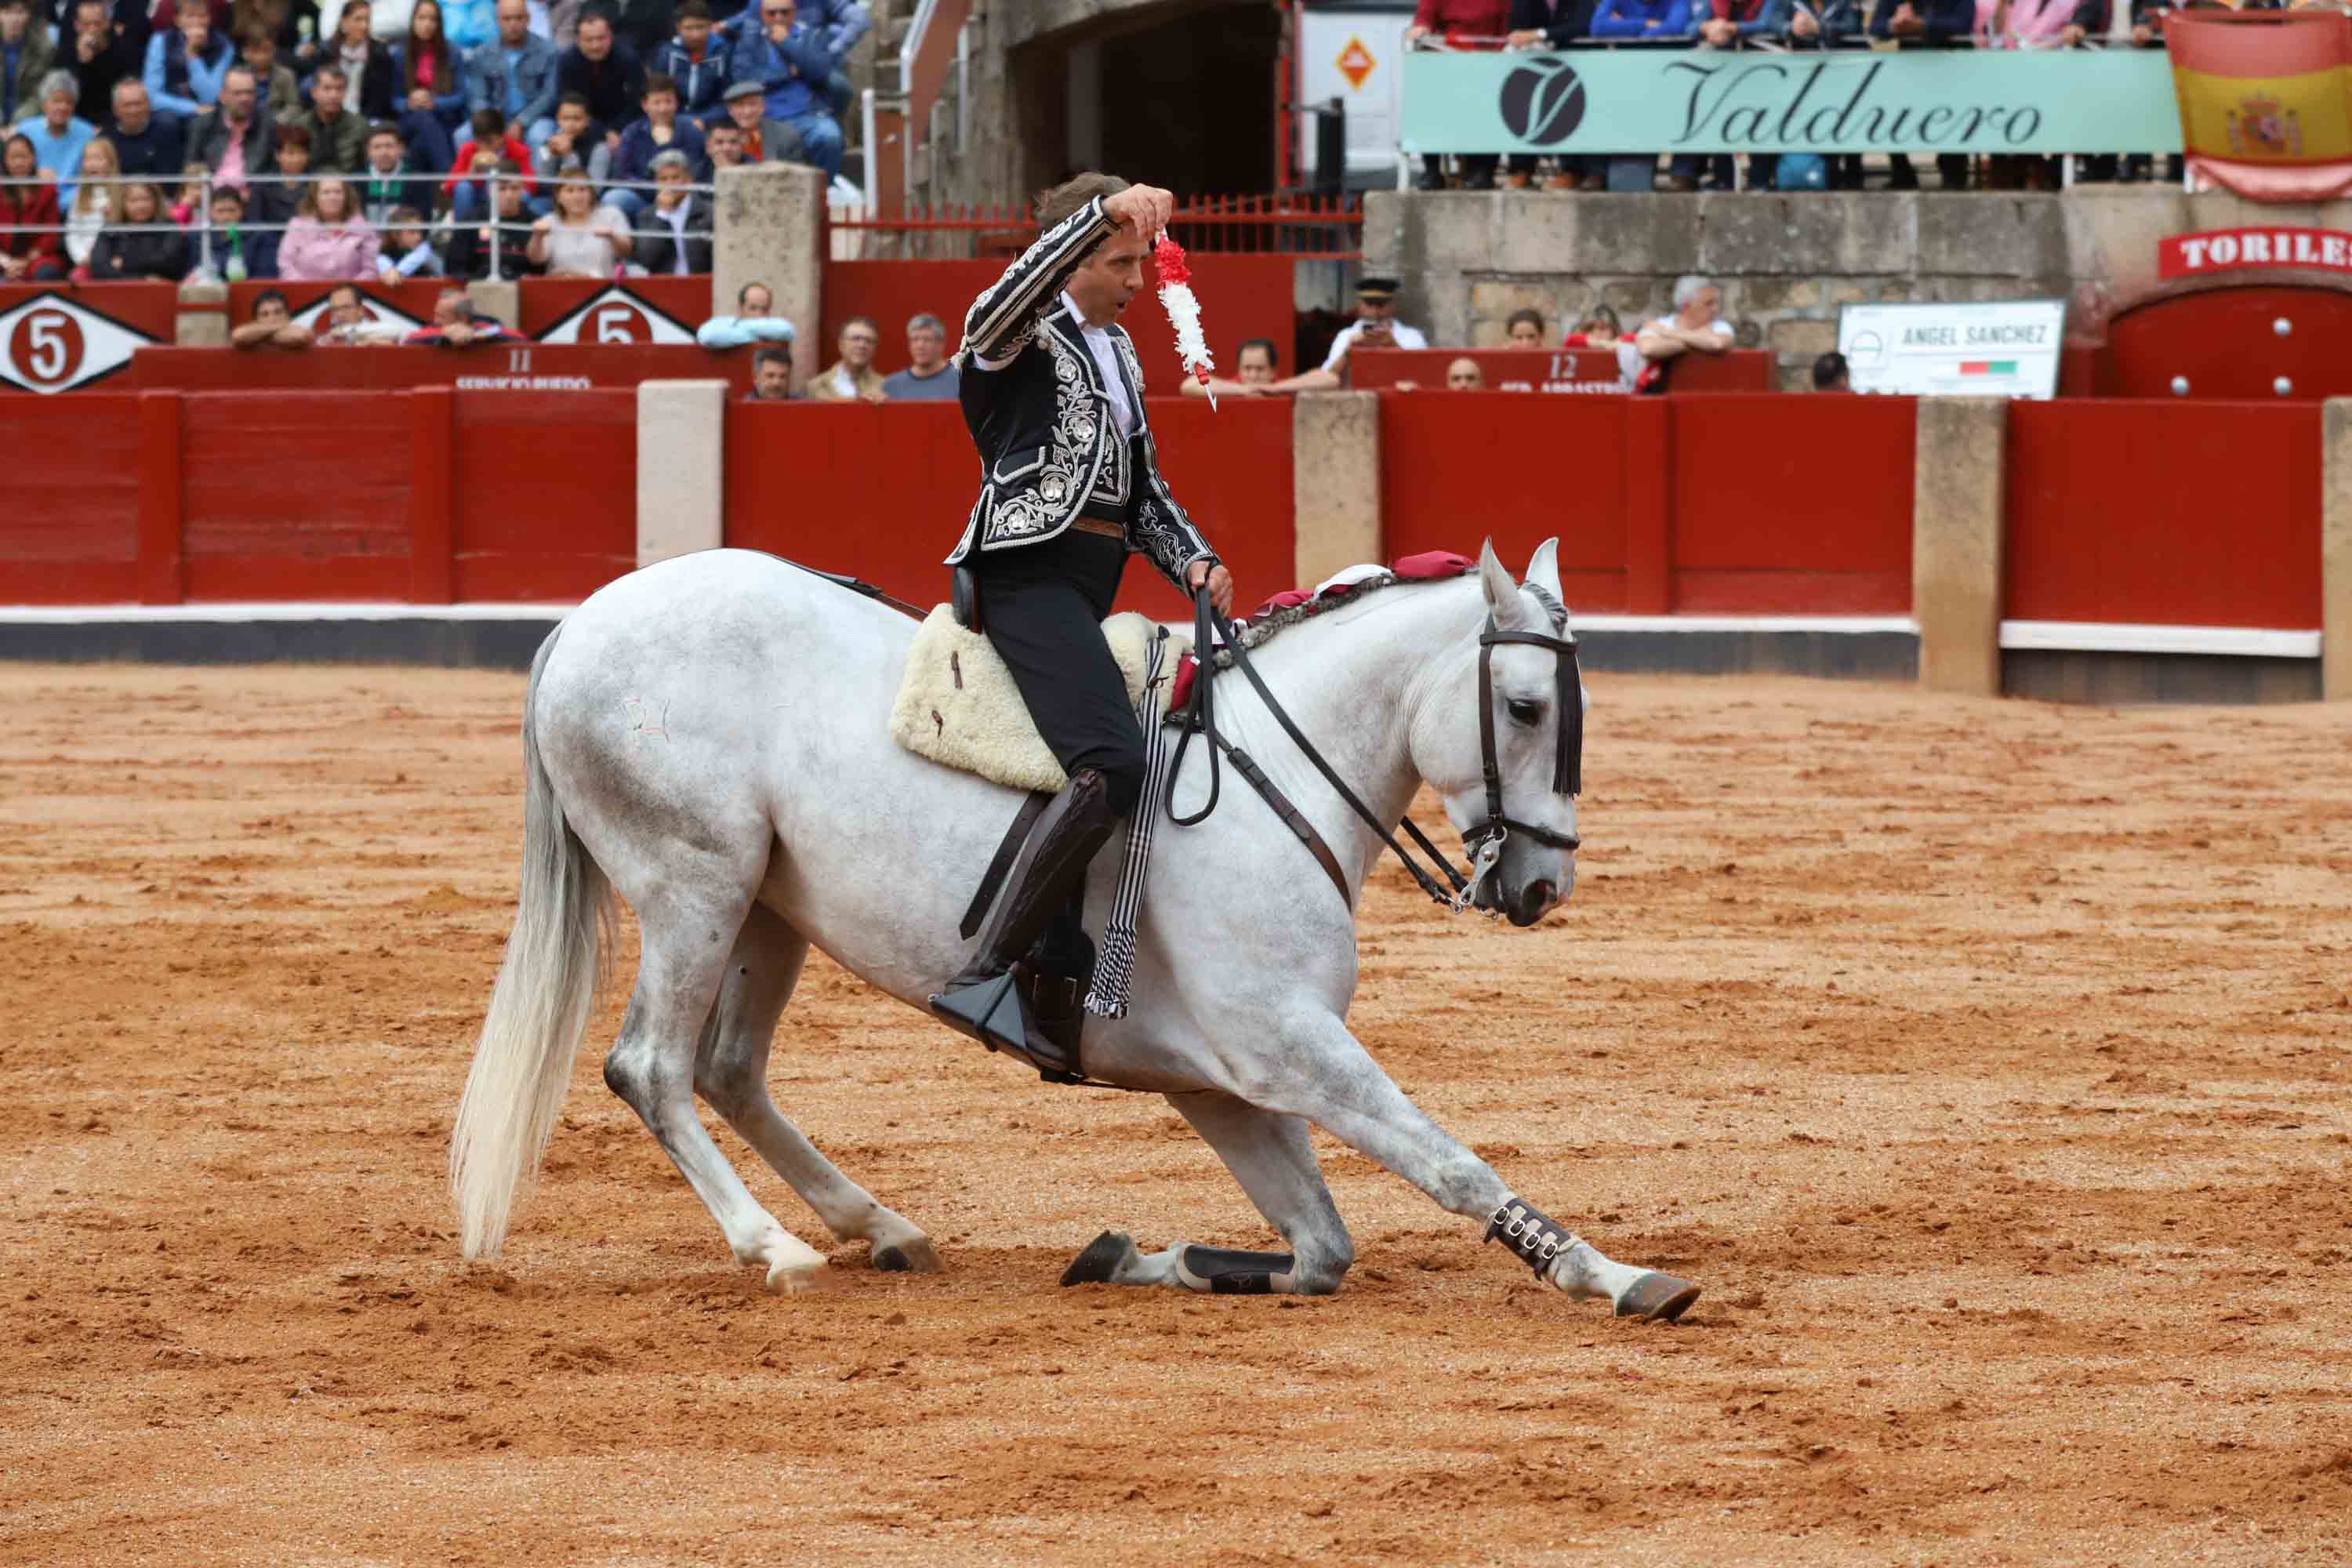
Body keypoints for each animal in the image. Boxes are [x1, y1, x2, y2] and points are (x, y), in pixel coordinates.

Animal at [445, 540, 1693, 1326]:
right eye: (1526, 707)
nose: (1541, 884)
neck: (1274, 769)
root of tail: (582, 624)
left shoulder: (1219, 1082)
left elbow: (1322, 1250)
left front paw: (1125, 1254)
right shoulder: (1290, 1048)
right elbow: (1452, 1166)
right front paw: (1616, 1275)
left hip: (765, 908)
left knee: (730, 1068)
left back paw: (881, 1227)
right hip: (692, 884)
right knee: (650, 1065)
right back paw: (780, 1250)